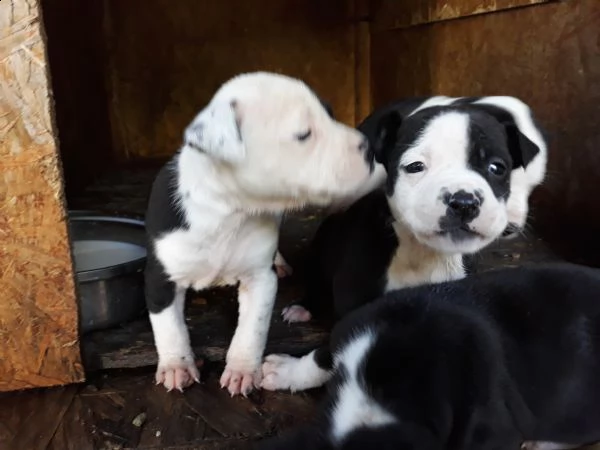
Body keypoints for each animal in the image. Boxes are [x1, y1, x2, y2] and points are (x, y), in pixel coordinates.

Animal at [143, 71, 372, 394]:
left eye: (330, 114)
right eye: (304, 134)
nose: (369, 147)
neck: (230, 210)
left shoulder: (260, 277)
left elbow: (252, 328)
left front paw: (242, 370)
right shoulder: (160, 277)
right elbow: (169, 327)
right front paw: (177, 365)